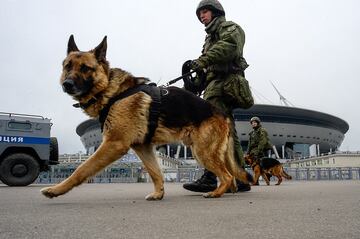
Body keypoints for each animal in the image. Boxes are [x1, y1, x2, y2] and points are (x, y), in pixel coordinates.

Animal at [40, 35, 253, 200]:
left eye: (85, 68)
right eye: (68, 66)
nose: (67, 84)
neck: (111, 91)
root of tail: (223, 114)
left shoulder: (114, 144)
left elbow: (82, 168)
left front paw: (55, 190)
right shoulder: (143, 147)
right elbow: (155, 172)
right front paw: (159, 194)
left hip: (202, 151)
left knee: (227, 175)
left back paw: (216, 193)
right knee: (231, 176)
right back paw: (229, 191)